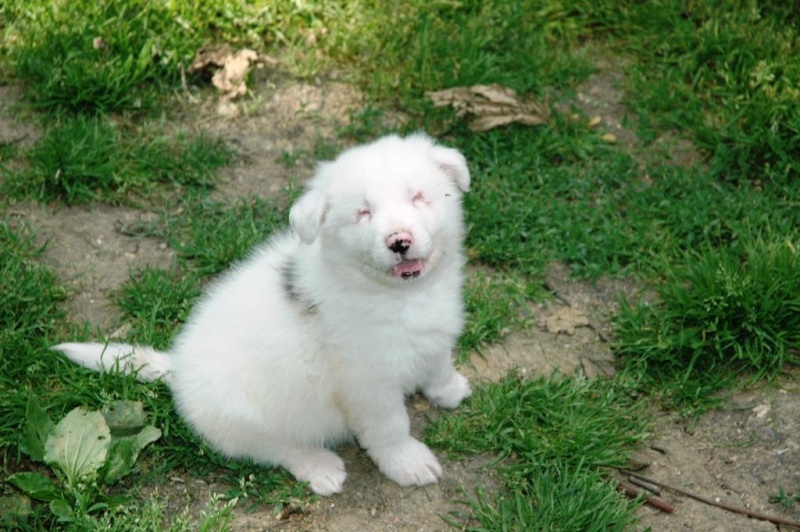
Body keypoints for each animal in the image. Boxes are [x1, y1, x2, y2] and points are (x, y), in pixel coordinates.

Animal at [54, 132, 476, 494]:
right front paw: (408, 463)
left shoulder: (434, 333)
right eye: (363, 213)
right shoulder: (368, 384)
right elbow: (390, 428)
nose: (399, 241)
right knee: (276, 448)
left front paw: (448, 389)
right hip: (242, 416)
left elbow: (438, 361)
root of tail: (179, 367)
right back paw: (319, 466)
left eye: (418, 196)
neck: (400, 296)